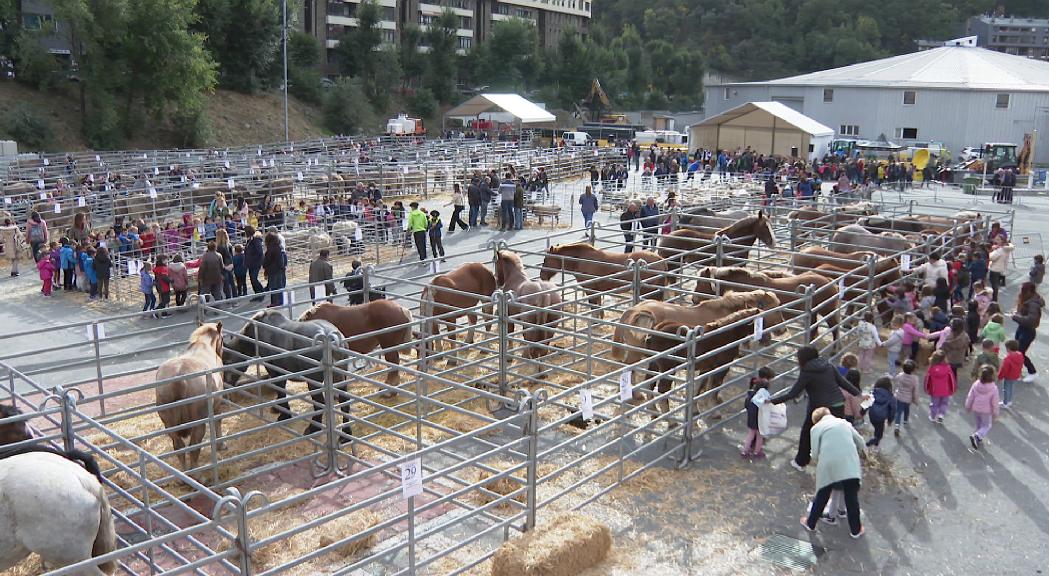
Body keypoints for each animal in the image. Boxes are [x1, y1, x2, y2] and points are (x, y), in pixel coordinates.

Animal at [155, 321, 225, 470]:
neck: (203, 344)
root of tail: (179, 379)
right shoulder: (217, 403)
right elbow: (217, 421)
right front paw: (221, 445)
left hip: (169, 424)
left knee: (179, 447)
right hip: (198, 421)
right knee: (194, 446)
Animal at [221, 310, 352, 436]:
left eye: (227, 362)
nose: (225, 386)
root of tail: (332, 339)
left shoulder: (273, 370)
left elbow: (280, 389)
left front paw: (284, 414)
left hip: (314, 382)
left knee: (320, 403)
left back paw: (313, 428)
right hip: (340, 376)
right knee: (344, 401)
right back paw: (345, 434)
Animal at [537, 240, 667, 316]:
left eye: (546, 259)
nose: (542, 276)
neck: (582, 260)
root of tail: (660, 259)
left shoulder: (591, 290)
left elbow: (594, 307)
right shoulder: (597, 291)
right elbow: (598, 307)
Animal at [692, 265, 839, 342]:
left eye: (701, 282)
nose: (693, 300)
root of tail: (828, 280)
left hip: (828, 311)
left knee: (835, 328)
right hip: (814, 313)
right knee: (813, 328)